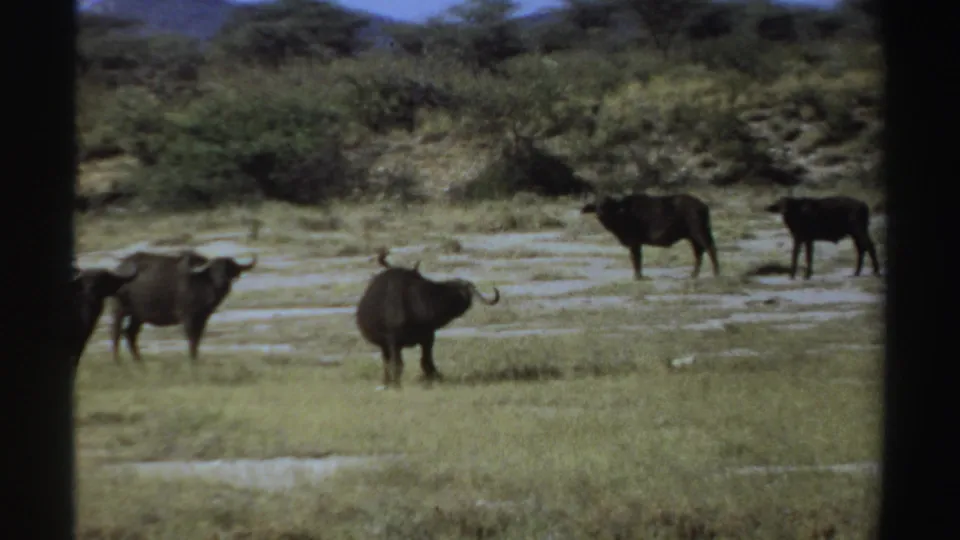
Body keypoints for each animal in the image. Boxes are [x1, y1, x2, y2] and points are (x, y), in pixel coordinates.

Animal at [109, 250, 257, 364]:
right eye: (213, 270)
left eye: (229, 269)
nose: (222, 282)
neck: (201, 283)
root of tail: (119, 268)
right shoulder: (187, 317)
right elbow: (192, 338)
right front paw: (192, 360)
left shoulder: (202, 318)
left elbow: (197, 339)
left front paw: (195, 359)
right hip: (119, 310)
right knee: (116, 333)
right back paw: (117, 361)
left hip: (138, 316)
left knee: (130, 334)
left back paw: (140, 362)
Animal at [355, 249, 500, 388]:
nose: (466, 301)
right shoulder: (394, 341)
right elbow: (398, 364)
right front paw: (397, 385)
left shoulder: (428, 338)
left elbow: (426, 362)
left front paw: (432, 380)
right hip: (385, 345)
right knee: (387, 362)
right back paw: (388, 382)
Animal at [581, 193, 721, 280]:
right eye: (596, 204)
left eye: (608, 204)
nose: (600, 213)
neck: (623, 214)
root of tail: (702, 206)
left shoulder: (635, 243)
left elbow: (636, 259)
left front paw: (638, 276)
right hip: (692, 237)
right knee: (699, 253)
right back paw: (693, 275)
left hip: (699, 232)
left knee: (710, 248)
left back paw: (716, 273)